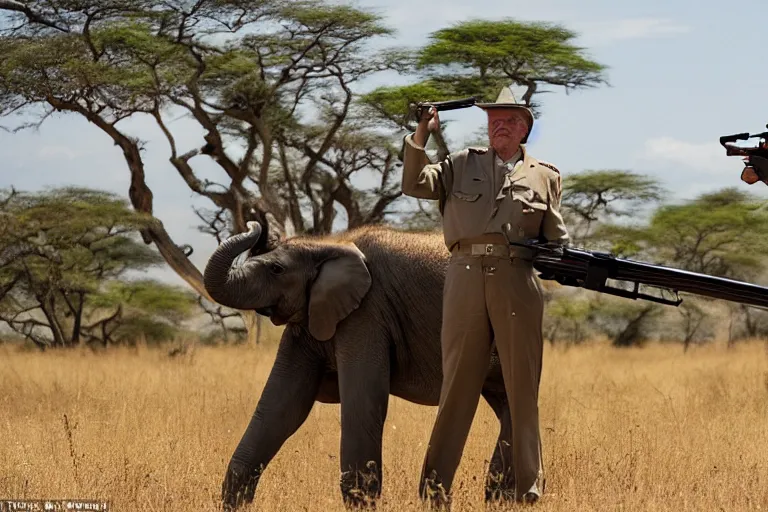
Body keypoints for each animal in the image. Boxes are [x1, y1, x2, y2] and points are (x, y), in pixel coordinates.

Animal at [204, 219, 516, 508]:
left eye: (276, 269)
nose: (254, 224)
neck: (329, 244)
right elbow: (281, 408)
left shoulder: (367, 313)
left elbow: (362, 401)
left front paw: (360, 501)